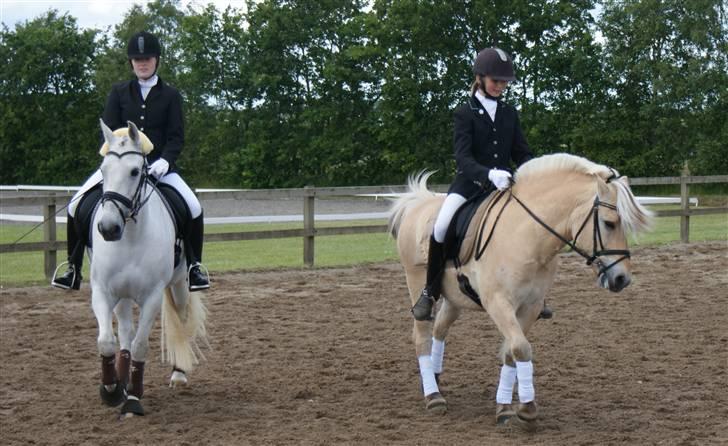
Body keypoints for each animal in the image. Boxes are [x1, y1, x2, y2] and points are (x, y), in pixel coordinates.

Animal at [89, 119, 208, 418]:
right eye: (103, 170)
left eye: (134, 171)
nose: (108, 228)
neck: (130, 234)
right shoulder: (102, 291)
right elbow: (107, 340)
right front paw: (111, 390)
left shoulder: (152, 296)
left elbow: (141, 346)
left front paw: (133, 398)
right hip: (122, 294)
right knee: (124, 334)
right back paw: (120, 379)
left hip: (178, 285)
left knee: (181, 319)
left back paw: (178, 373)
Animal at [390, 152, 652, 428]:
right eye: (609, 223)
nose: (622, 278)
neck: (527, 236)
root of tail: (418, 203)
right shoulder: (498, 303)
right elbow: (521, 348)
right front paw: (527, 408)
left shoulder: (531, 306)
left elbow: (510, 352)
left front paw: (505, 407)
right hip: (417, 282)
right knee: (422, 336)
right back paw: (433, 396)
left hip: (455, 299)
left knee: (439, 331)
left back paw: (435, 377)